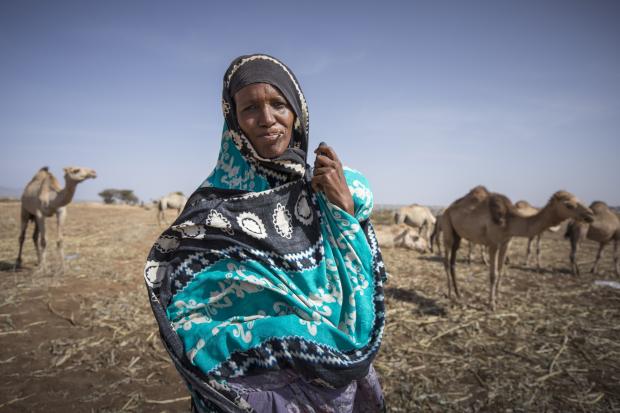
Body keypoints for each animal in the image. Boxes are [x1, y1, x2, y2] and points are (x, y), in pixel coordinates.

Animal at [440, 186, 596, 308]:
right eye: (569, 205)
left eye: (579, 200)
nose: (590, 215)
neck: (509, 221)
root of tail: (448, 208)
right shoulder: (493, 244)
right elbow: (493, 274)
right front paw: (491, 304)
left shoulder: (506, 243)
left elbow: (501, 271)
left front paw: (499, 300)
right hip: (448, 228)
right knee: (446, 261)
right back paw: (449, 293)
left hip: (458, 236)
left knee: (453, 262)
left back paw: (458, 294)